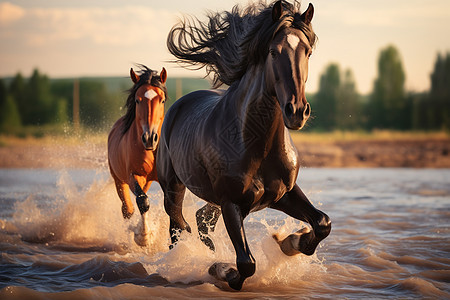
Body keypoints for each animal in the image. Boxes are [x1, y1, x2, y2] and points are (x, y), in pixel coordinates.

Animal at [107, 65, 167, 246]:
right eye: (137, 100)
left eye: (162, 100)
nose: (150, 138)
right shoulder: (134, 175)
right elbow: (143, 201)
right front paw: (144, 237)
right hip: (119, 179)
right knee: (128, 208)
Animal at [157, 0, 330, 290]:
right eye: (273, 51)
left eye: (307, 51)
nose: (296, 111)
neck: (255, 144)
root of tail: (177, 105)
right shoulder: (231, 203)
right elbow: (246, 263)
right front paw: (221, 270)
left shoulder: (281, 194)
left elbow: (321, 222)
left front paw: (291, 242)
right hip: (173, 186)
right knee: (178, 227)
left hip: (214, 201)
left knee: (201, 221)